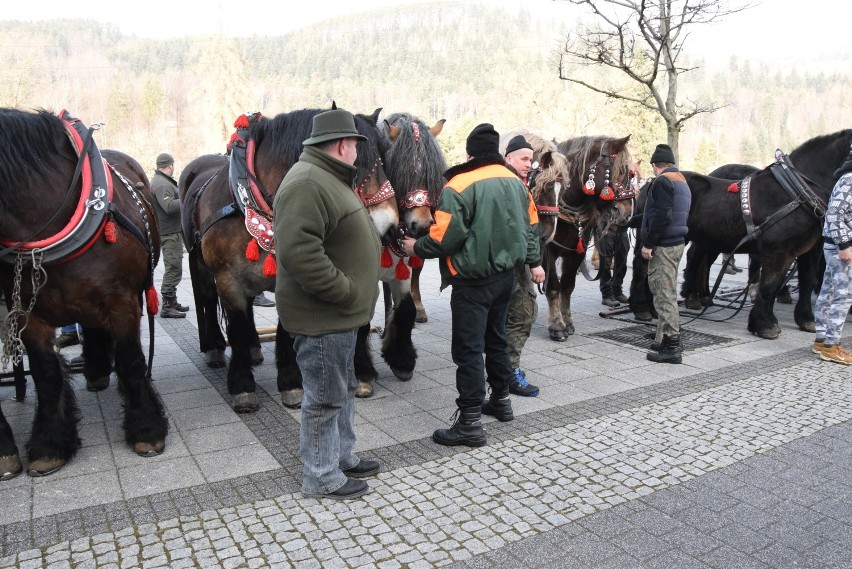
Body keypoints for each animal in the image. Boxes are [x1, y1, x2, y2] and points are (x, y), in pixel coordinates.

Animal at [0, 107, 168, 480]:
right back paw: (96, 370)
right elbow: (46, 375)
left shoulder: (122, 301)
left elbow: (132, 360)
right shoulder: (30, 315)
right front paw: (49, 445)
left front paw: (146, 430)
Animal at [179, 107, 402, 408]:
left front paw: (290, 383)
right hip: (203, 265)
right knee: (208, 296)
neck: (249, 200)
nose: (389, 226)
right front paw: (242, 385)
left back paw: (254, 348)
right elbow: (235, 327)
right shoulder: (227, 278)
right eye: (358, 164)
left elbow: (284, 328)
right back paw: (215, 348)